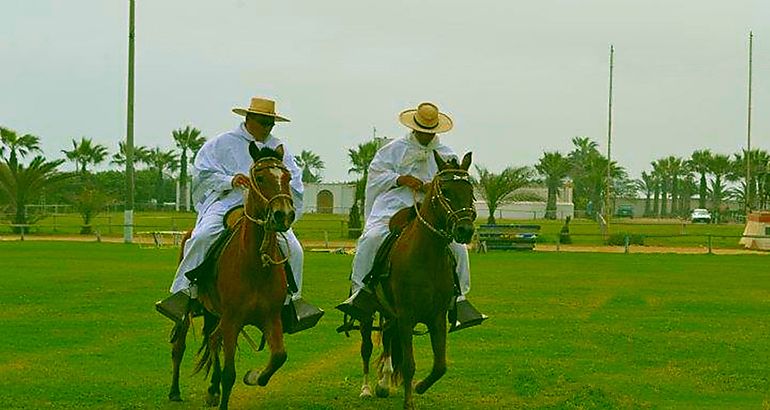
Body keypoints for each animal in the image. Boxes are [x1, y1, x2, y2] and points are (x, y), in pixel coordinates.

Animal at [166, 143, 296, 408]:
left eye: (287, 177)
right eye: (260, 178)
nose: (284, 214)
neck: (255, 265)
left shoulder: (270, 317)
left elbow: (279, 356)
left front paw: (255, 376)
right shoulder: (233, 319)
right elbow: (229, 374)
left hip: (215, 314)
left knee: (213, 340)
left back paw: (212, 389)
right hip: (191, 312)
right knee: (179, 346)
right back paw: (175, 391)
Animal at [358, 151, 474, 410]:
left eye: (470, 191)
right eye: (446, 191)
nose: (465, 230)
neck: (426, 257)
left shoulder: (436, 317)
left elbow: (440, 366)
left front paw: (420, 386)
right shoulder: (407, 316)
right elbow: (409, 364)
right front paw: (409, 400)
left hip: (391, 314)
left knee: (388, 339)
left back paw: (384, 383)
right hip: (370, 312)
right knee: (367, 347)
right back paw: (367, 388)